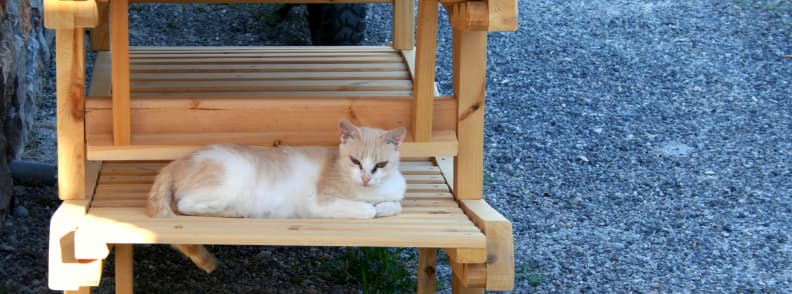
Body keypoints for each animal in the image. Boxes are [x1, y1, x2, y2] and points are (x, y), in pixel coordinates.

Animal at [146, 120, 408, 274]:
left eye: (381, 165)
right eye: (355, 161)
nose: (365, 177)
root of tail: (177, 162)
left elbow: (395, 205)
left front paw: (384, 206)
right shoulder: (319, 203)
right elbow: (367, 210)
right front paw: (373, 207)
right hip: (227, 183)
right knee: (185, 205)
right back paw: (235, 212)